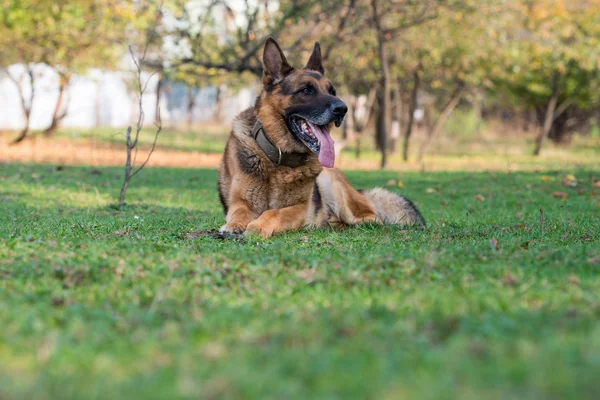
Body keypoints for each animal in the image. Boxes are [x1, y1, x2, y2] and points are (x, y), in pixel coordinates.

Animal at [218, 37, 424, 238]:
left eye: (332, 91)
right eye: (306, 90)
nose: (342, 109)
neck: (279, 158)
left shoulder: (299, 208)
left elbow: (274, 212)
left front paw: (258, 226)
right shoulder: (241, 201)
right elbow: (239, 212)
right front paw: (233, 226)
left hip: (334, 185)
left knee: (372, 218)